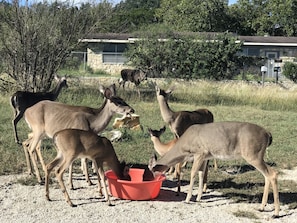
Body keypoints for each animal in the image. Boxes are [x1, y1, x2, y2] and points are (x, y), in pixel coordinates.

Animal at [150, 122, 280, 218]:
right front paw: (198, 198)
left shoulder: (200, 153)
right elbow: (201, 174)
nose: (151, 180)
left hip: (253, 155)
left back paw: (276, 213)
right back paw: (262, 207)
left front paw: (187, 199)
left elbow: (193, 173)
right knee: (267, 175)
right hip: (257, 156)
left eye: (152, 170)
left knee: (273, 173)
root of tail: (267, 134)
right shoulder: (205, 157)